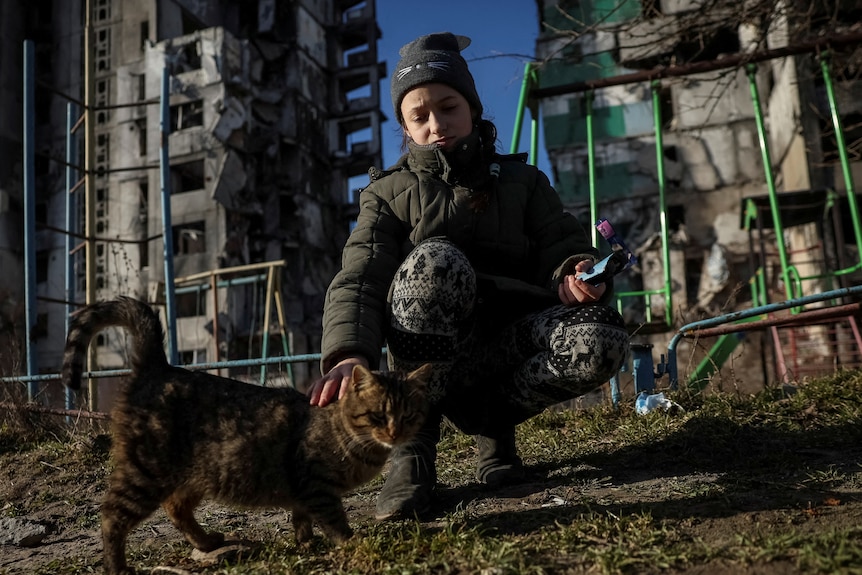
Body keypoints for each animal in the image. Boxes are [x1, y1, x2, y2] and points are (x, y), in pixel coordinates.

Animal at [64, 296, 432, 575]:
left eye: (408, 416)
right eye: (378, 415)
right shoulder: (316, 486)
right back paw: (118, 568)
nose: (395, 432)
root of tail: (158, 365)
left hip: (192, 476)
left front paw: (306, 543)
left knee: (175, 508)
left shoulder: (302, 493)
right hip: (145, 472)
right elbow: (335, 521)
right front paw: (353, 542)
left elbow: (302, 520)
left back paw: (207, 542)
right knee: (112, 516)